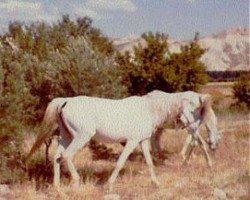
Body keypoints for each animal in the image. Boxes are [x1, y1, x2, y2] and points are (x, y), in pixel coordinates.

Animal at [25, 90, 221, 191]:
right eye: (195, 108)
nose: (194, 129)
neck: (149, 108)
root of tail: (65, 101)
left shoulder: (143, 141)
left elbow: (149, 162)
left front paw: (155, 183)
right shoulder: (132, 141)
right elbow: (120, 162)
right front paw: (109, 185)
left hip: (67, 136)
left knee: (57, 157)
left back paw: (58, 188)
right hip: (81, 137)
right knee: (66, 156)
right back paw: (76, 182)